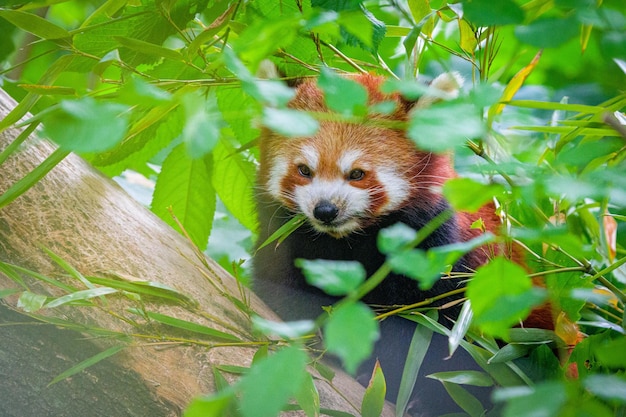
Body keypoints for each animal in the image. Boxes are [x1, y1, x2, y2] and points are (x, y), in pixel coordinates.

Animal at [254, 73, 556, 414]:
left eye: (357, 174)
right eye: (305, 170)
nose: (325, 210)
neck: (349, 242)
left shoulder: (438, 257)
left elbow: (433, 336)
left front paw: (414, 391)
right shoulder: (285, 243)